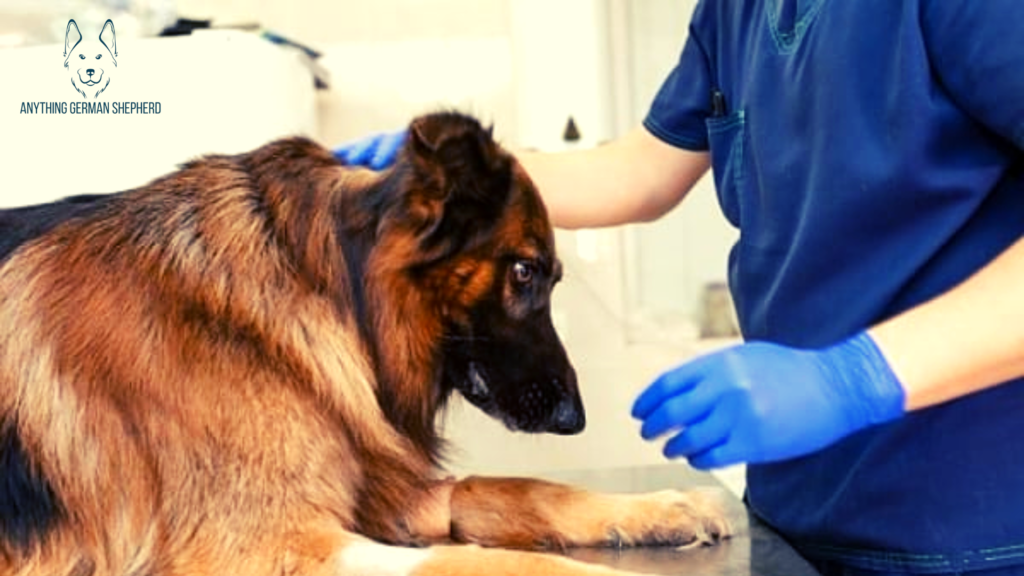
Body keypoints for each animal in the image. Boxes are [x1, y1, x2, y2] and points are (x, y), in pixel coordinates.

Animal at [0, 109, 729, 569]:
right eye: (524, 272)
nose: (575, 418)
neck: (317, 283)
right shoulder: (276, 542)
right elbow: (486, 564)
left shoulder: (390, 497)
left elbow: (520, 488)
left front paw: (660, 507)